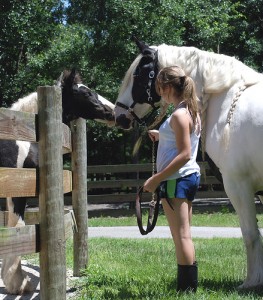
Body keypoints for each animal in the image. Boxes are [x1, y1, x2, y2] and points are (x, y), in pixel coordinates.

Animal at [0, 68, 115, 296]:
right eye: (86, 93)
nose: (114, 113)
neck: (22, 138)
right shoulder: (16, 192)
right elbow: (17, 227)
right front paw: (18, 283)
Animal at [115, 38, 263, 290]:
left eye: (137, 75)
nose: (118, 115)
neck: (226, 100)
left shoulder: (238, 184)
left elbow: (251, 234)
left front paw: (251, 282)